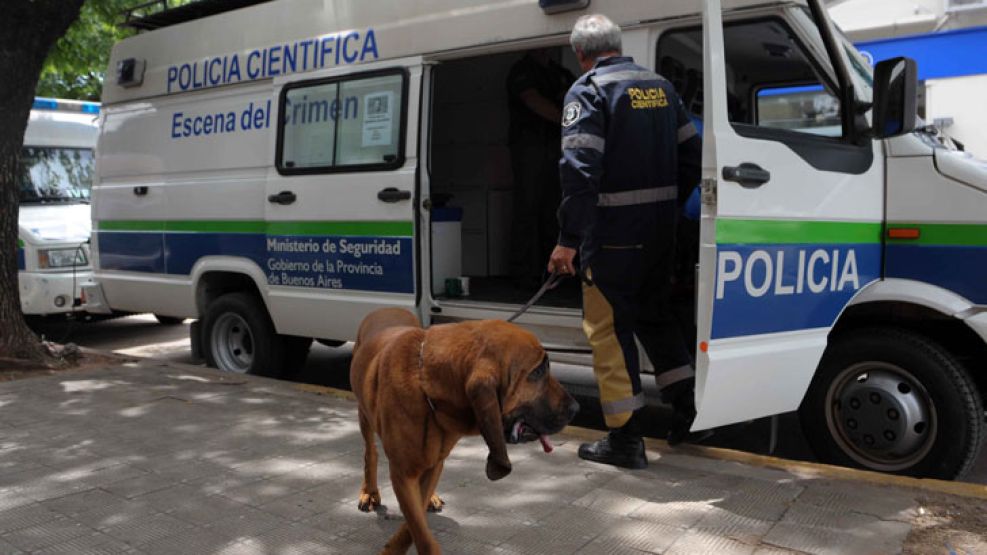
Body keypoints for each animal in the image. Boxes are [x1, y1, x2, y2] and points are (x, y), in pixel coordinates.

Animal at [350, 308, 580, 555]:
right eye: (538, 371)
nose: (576, 408)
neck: (425, 384)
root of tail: (386, 309)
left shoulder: (431, 465)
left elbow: (415, 519)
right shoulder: (402, 473)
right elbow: (419, 529)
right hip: (364, 416)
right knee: (370, 452)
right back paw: (370, 492)